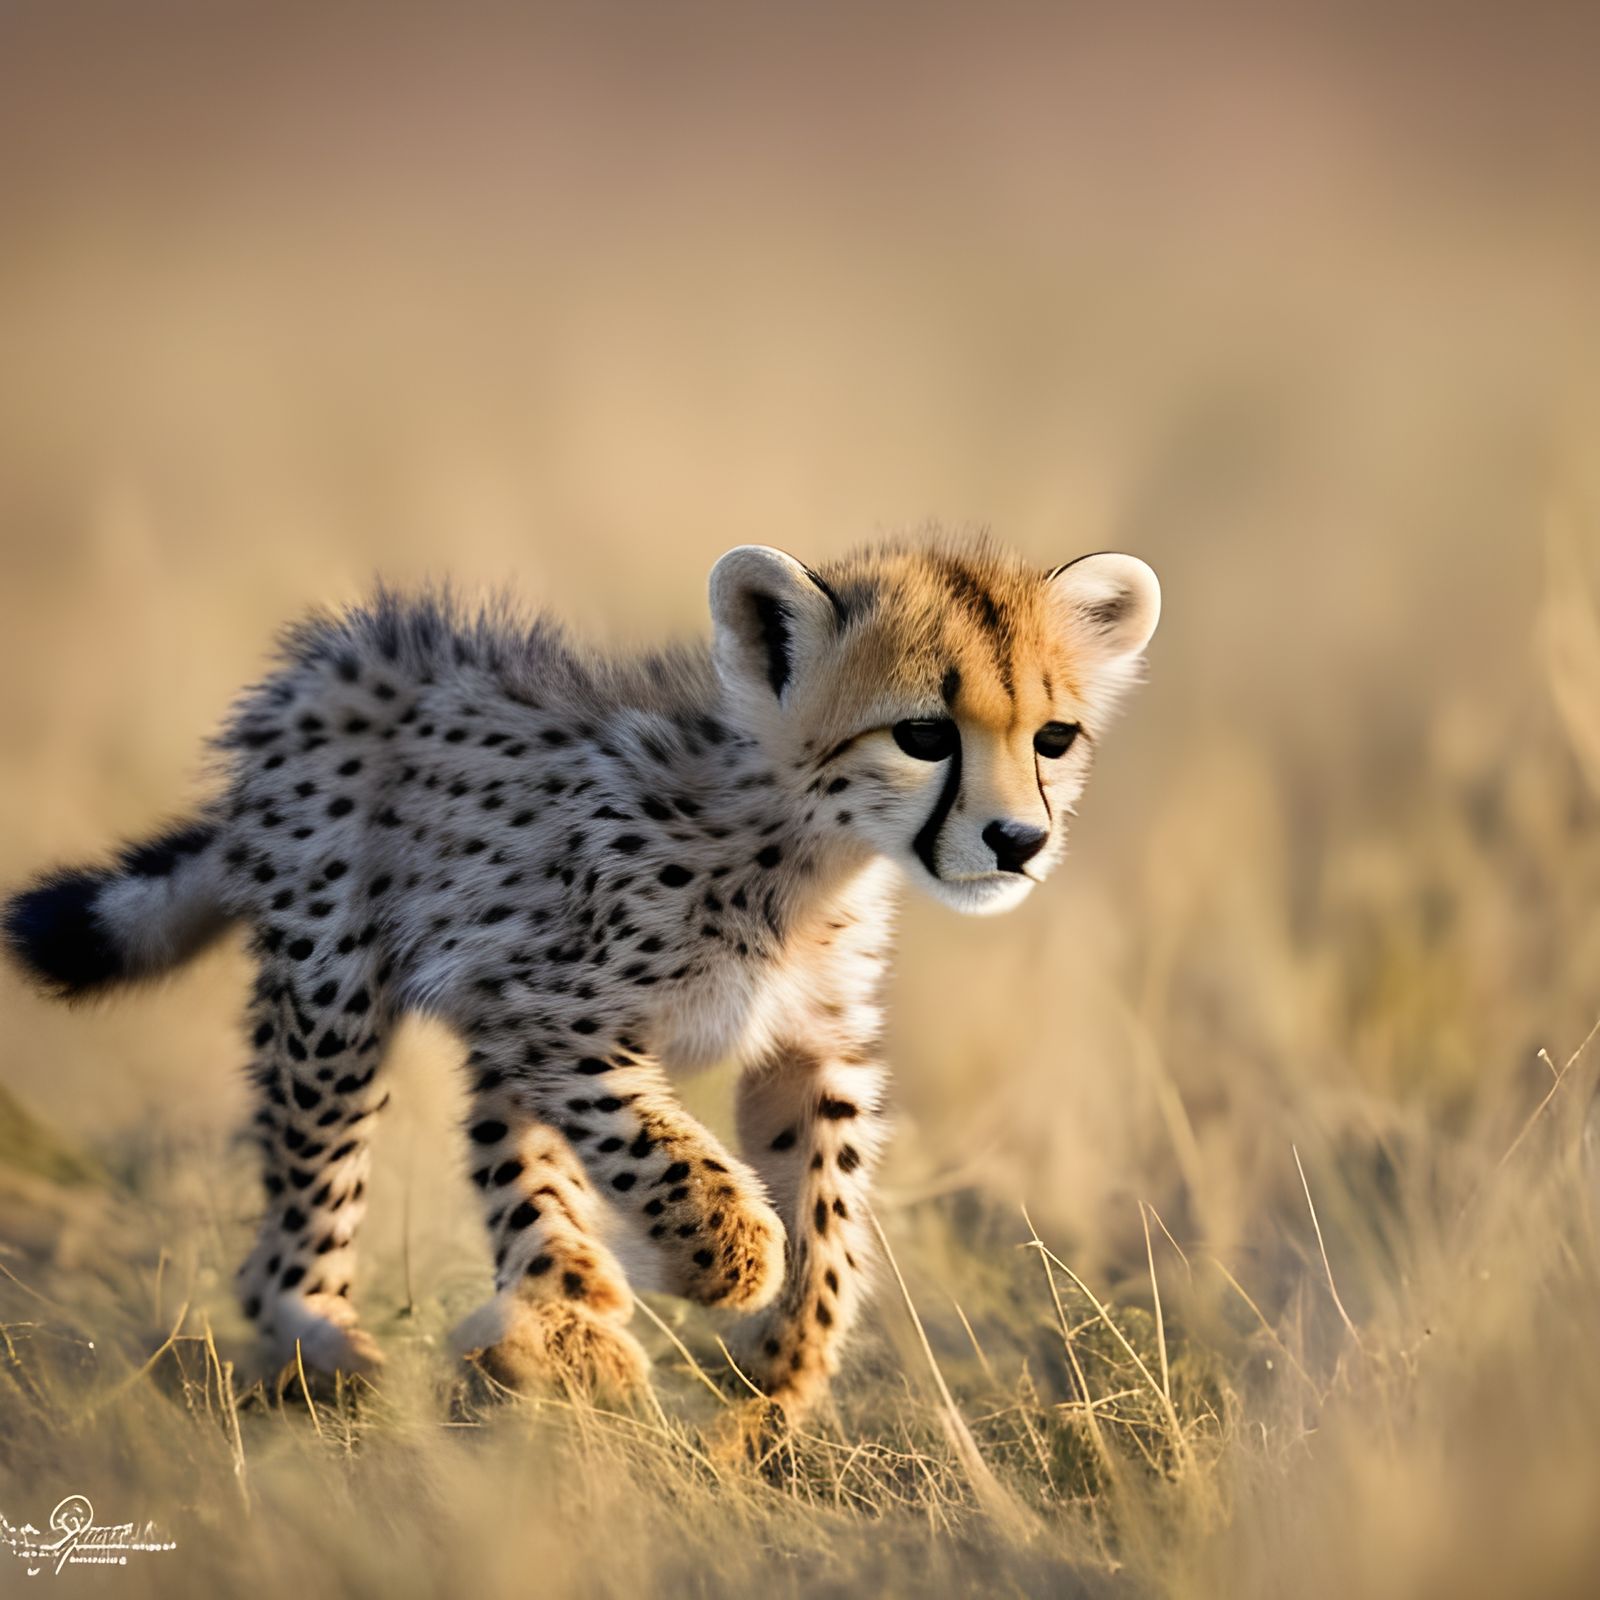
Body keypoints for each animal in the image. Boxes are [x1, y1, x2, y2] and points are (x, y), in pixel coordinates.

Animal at [3, 530, 1160, 1415]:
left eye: (1054, 737)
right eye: (922, 734)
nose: (1017, 840)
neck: (806, 846)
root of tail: (347, 643)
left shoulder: (808, 1049)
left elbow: (823, 1206)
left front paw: (784, 1363)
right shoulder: (548, 1010)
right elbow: (666, 1153)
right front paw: (720, 1264)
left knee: (506, 1152)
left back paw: (552, 1311)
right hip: (336, 984)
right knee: (310, 1185)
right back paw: (330, 1340)